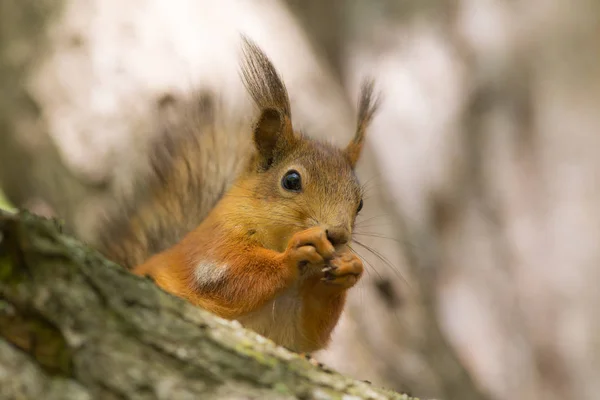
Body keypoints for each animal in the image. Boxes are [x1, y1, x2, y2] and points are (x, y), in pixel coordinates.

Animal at [98, 36, 380, 352]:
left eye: (360, 203)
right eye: (291, 180)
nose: (338, 235)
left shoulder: (299, 324)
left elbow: (313, 331)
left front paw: (350, 268)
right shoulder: (211, 252)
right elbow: (233, 279)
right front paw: (295, 253)